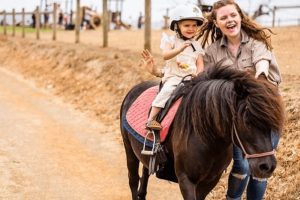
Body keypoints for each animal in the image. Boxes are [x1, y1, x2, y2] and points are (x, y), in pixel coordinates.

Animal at [119, 65, 284, 199]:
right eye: (247, 121)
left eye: (272, 124)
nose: (267, 166)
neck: (208, 138)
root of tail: (134, 89)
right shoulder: (186, 179)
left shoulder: (210, 181)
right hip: (129, 149)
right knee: (133, 180)